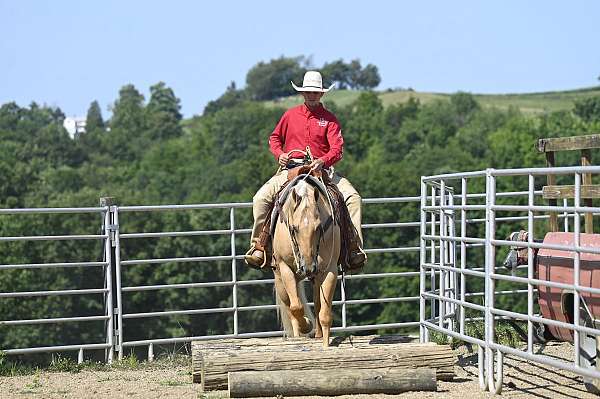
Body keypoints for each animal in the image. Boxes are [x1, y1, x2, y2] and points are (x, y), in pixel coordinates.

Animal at [274, 177, 340, 348]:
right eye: (294, 228)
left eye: (318, 228)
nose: (308, 267)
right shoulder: (285, 268)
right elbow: (296, 307)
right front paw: (306, 325)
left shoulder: (329, 270)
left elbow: (324, 313)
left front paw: (325, 344)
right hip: (279, 279)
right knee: (290, 306)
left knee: (317, 303)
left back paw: (317, 334)